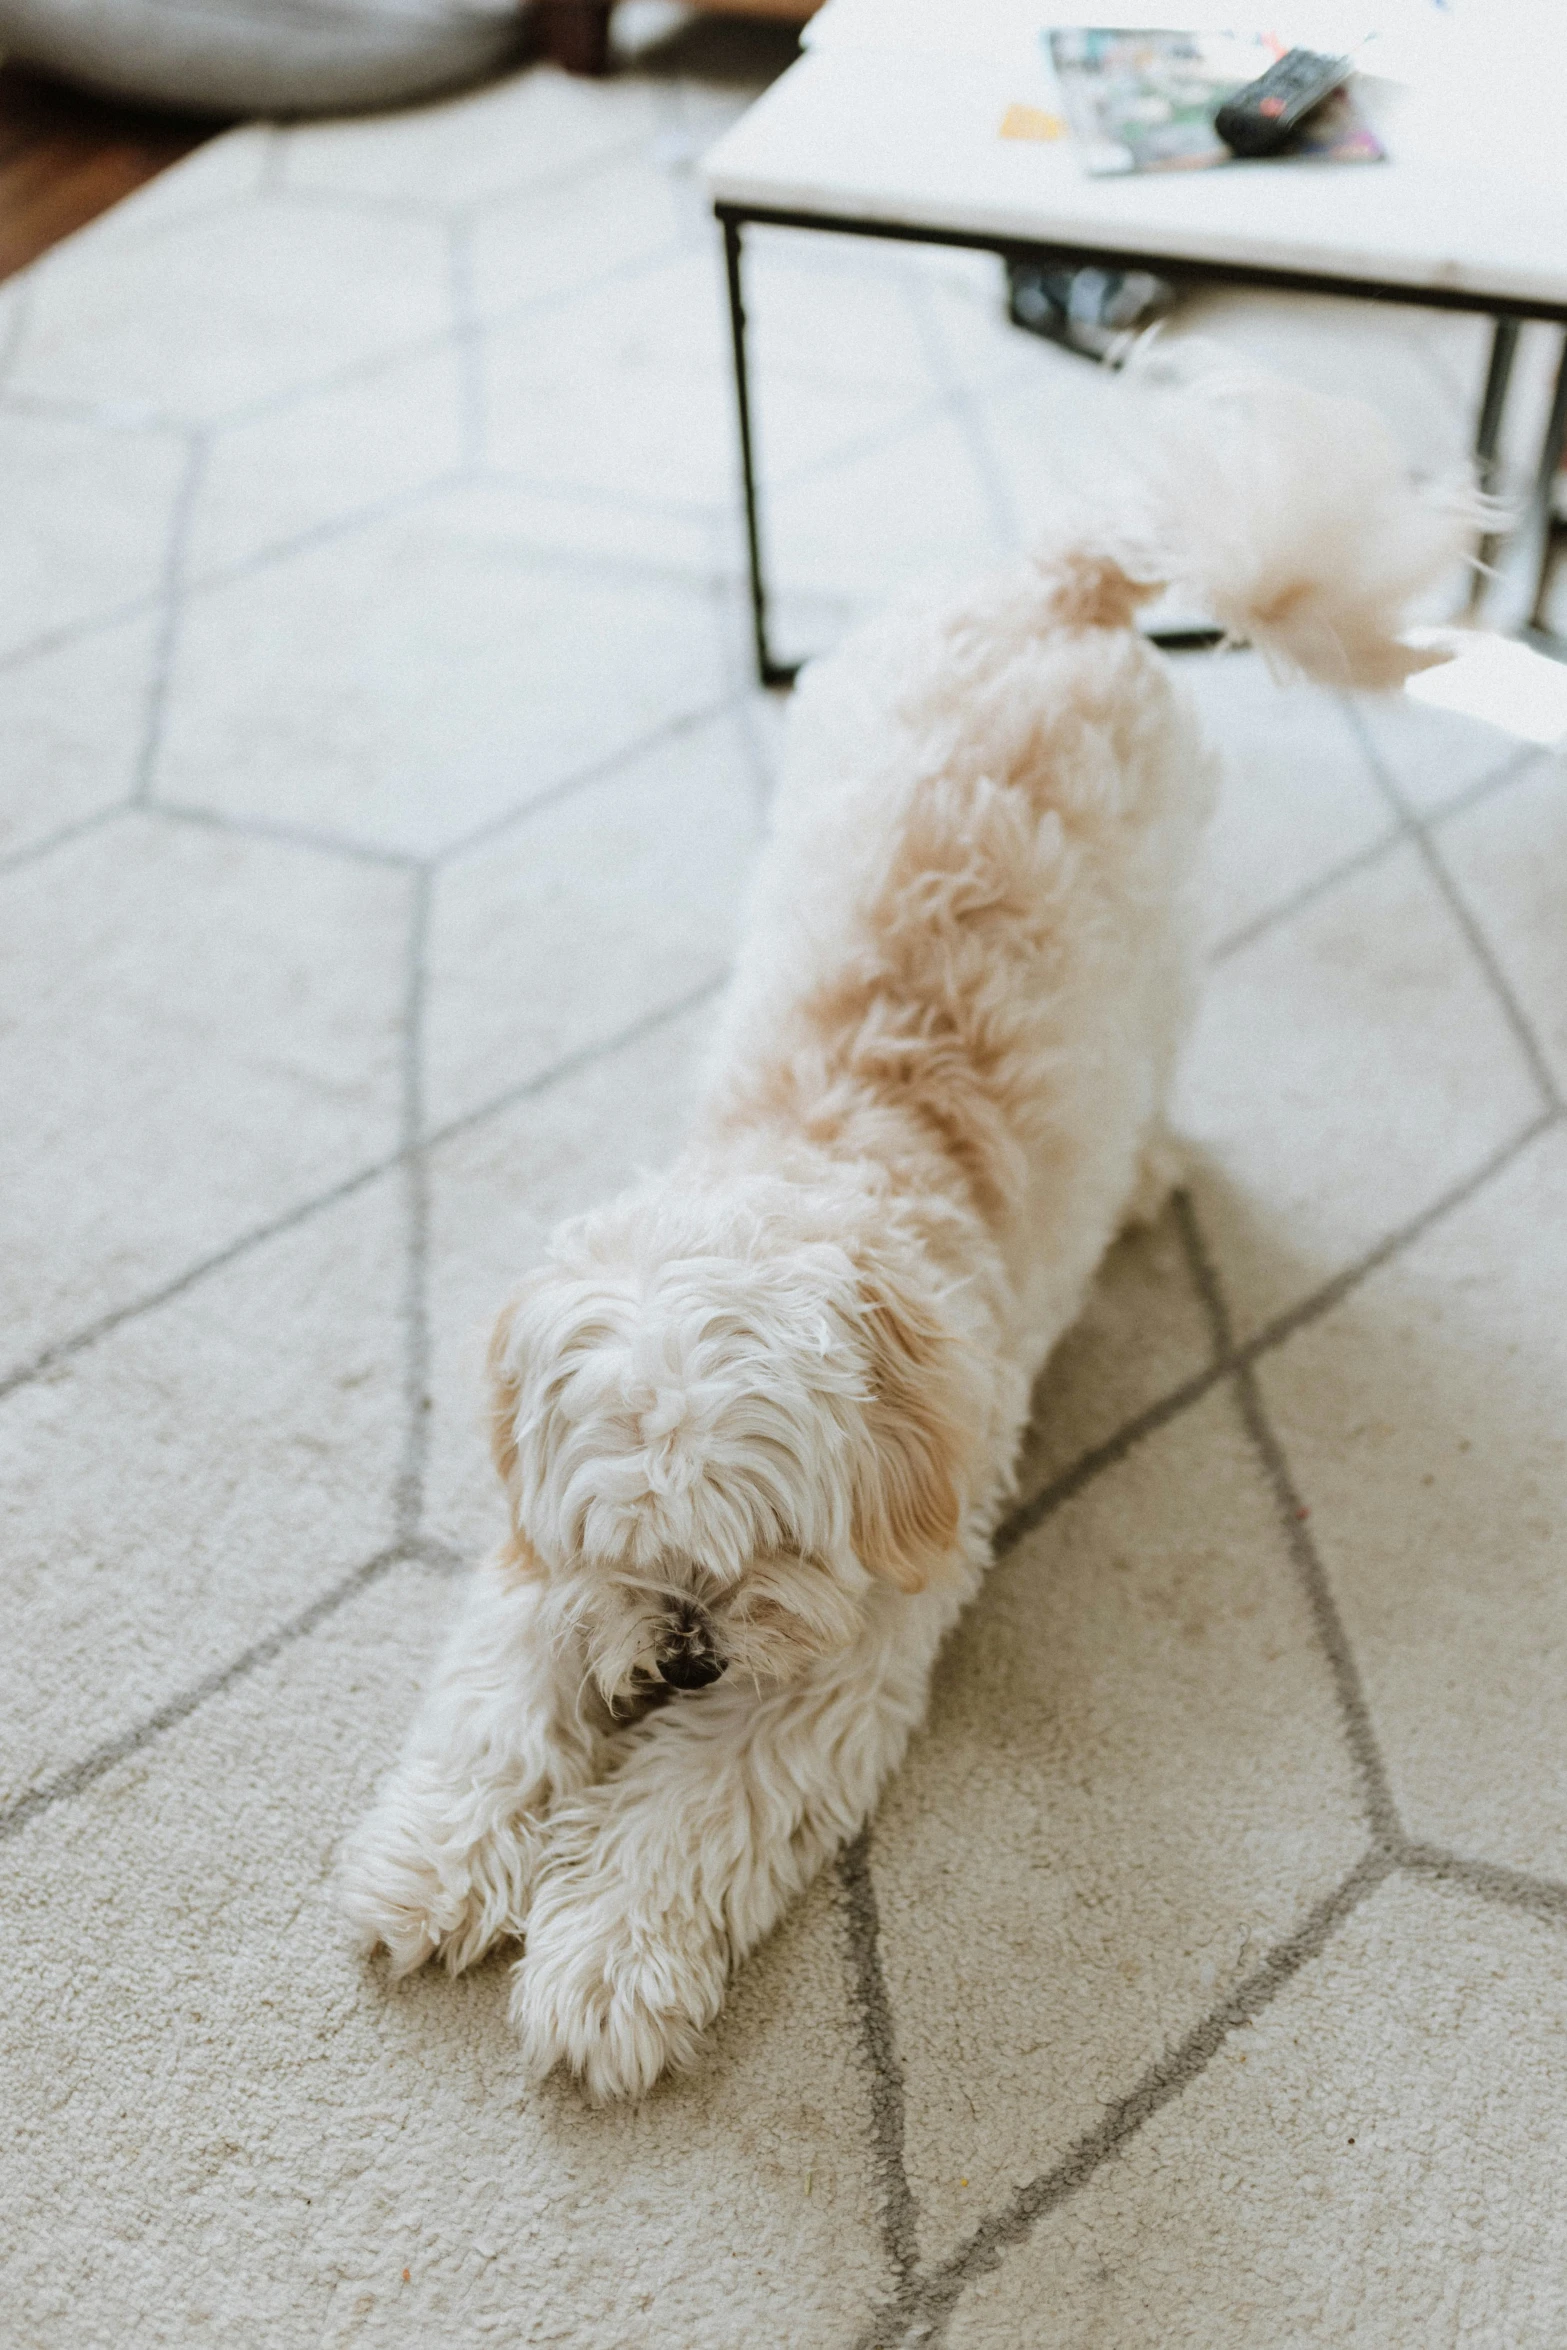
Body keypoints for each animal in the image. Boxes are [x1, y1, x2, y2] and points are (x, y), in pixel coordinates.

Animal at [343, 371, 1475, 2115]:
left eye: (760, 1551)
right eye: (634, 1548)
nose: (680, 1654)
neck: (821, 1160)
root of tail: (1060, 585)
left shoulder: (829, 1661)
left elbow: (684, 1816)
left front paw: (600, 1974)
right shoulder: (548, 1569)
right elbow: (493, 1708)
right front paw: (430, 1865)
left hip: (1167, 937)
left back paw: (1143, 1171)